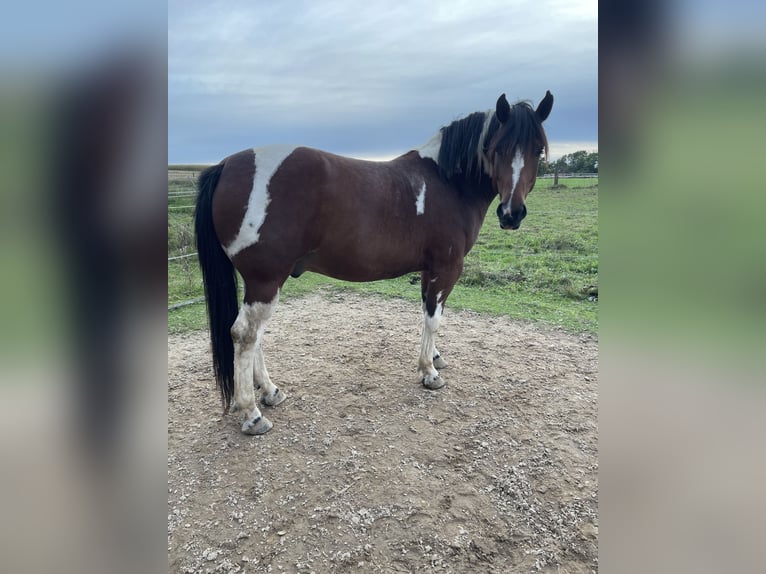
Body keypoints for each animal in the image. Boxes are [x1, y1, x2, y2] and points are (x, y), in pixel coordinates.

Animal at [195, 91, 556, 436]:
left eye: (537, 150)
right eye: (498, 148)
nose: (512, 214)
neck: (448, 183)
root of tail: (226, 165)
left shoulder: (429, 271)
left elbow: (428, 314)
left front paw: (435, 357)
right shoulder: (446, 268)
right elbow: (433, 319)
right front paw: (429, 372)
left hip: (260, 282)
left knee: (256, 335)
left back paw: (270, 391)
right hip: (266, 279)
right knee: (245, 334)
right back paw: (252, 414)